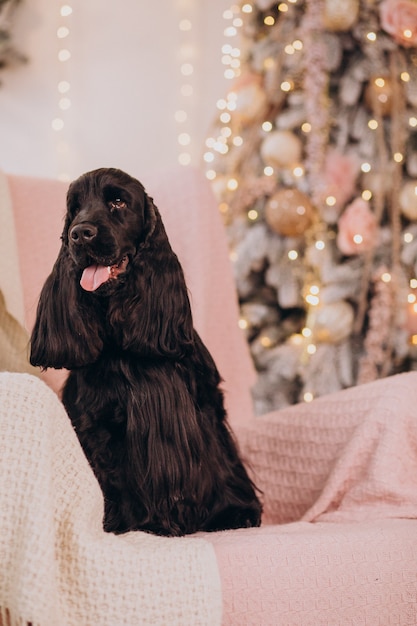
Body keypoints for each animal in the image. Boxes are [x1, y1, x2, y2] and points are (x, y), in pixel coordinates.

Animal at [30, 168, 262, 532]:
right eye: (75, 208)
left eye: (118, 201)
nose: (79, 234)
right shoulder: (97, 427)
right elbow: (113, 480)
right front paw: (129, 523)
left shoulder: (205, 409)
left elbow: (221, 461)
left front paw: (233, 511)